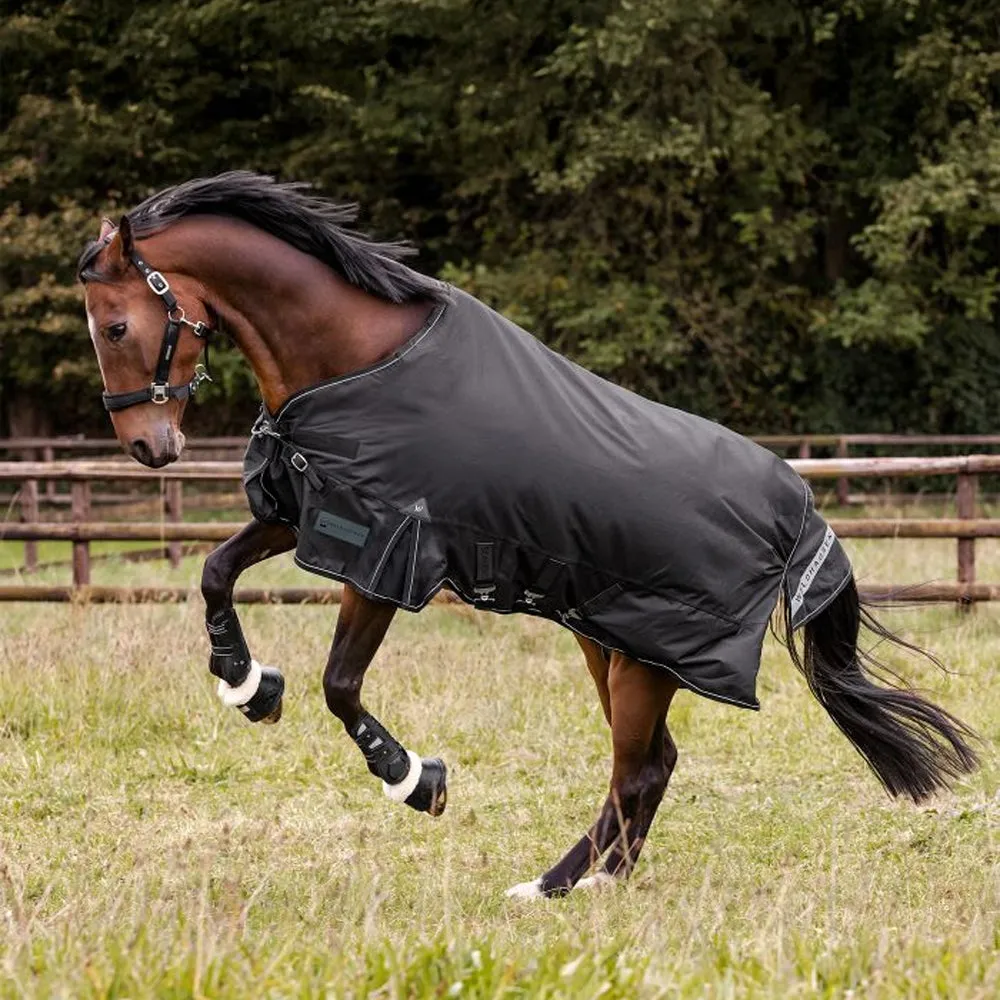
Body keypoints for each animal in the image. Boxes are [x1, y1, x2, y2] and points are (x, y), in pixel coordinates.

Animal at [78, 171, 978, 899]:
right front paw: (248, 686)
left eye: (115, 328)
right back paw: (600, 880)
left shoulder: (386, 550)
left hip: (645, 660)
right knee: (652, 766)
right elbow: (214, 573)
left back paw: (553, 886)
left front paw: (416, 781)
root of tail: (799, 513)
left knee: (638, 769)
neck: (358, 360)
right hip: (610, 643)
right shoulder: (310, 508)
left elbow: (340, 683)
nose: (148, 448)